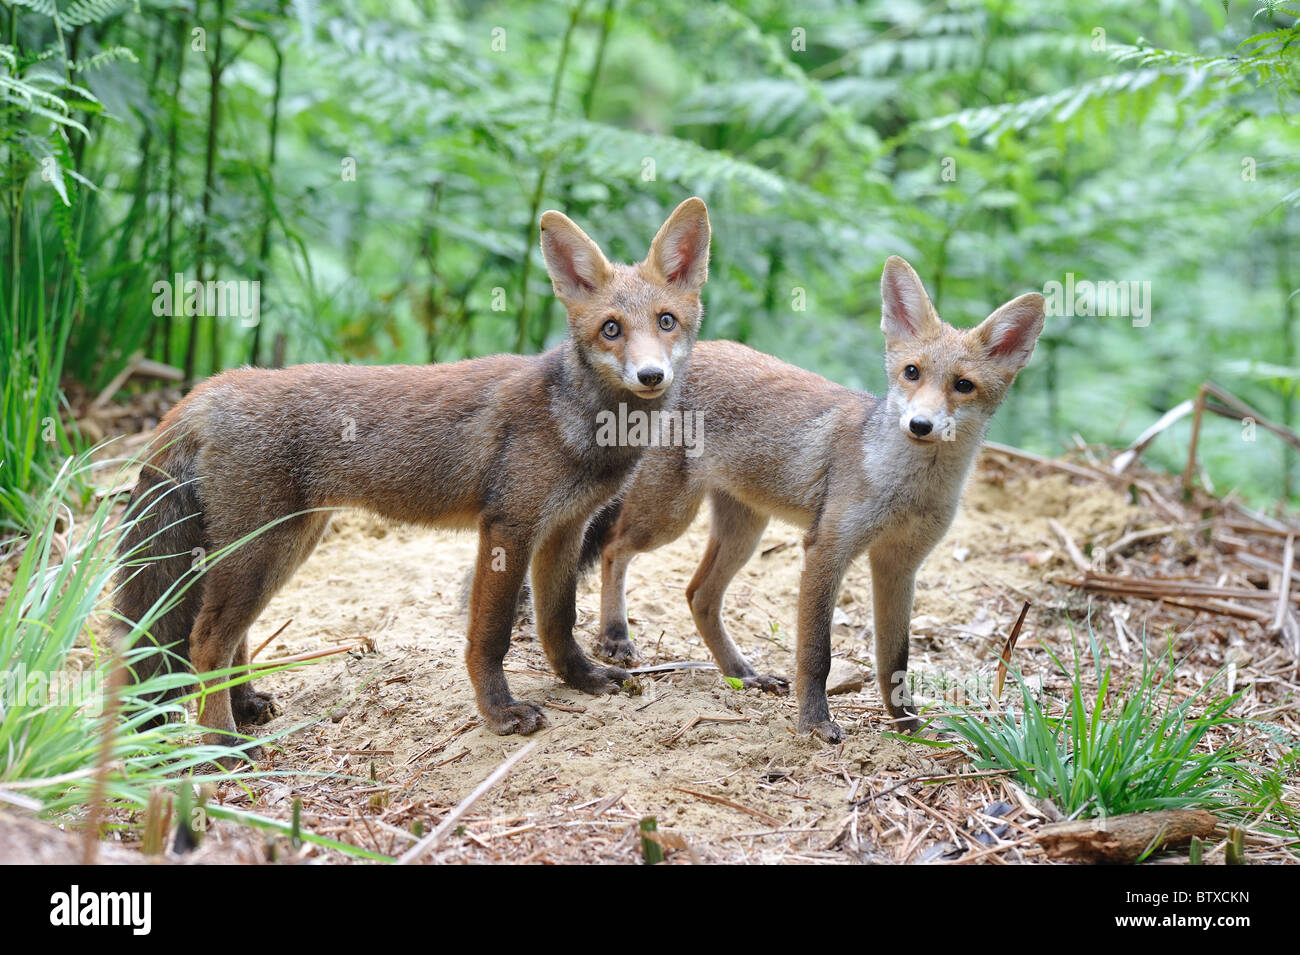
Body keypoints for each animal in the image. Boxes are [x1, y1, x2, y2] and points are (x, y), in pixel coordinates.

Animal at [113, 197, 712, 758]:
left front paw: (582, 679)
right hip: (262, 549)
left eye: (666, 321)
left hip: (286, 544)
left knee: (229, 634)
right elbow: (490, 637)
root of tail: (213, 386)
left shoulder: (565, 527)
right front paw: (499, 713)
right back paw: (222, 744)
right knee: (206, 639)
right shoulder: (508, 526)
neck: (579, 425)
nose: (651, 375)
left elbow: (557, 624)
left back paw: (242, 706)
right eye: (611, 329)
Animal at [582, 255, 1045, 742]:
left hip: (743, 532)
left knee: (698, 595)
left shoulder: (899, 565)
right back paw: (615, 637)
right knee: (614, 548)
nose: (920, 425)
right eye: (912, 372)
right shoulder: (826, 549)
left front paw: (907, 727)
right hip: (668, 517)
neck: (907, 490)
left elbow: (894, 660)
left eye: (963, 385)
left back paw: (743, 674)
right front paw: (815, 722)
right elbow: (817, 654)